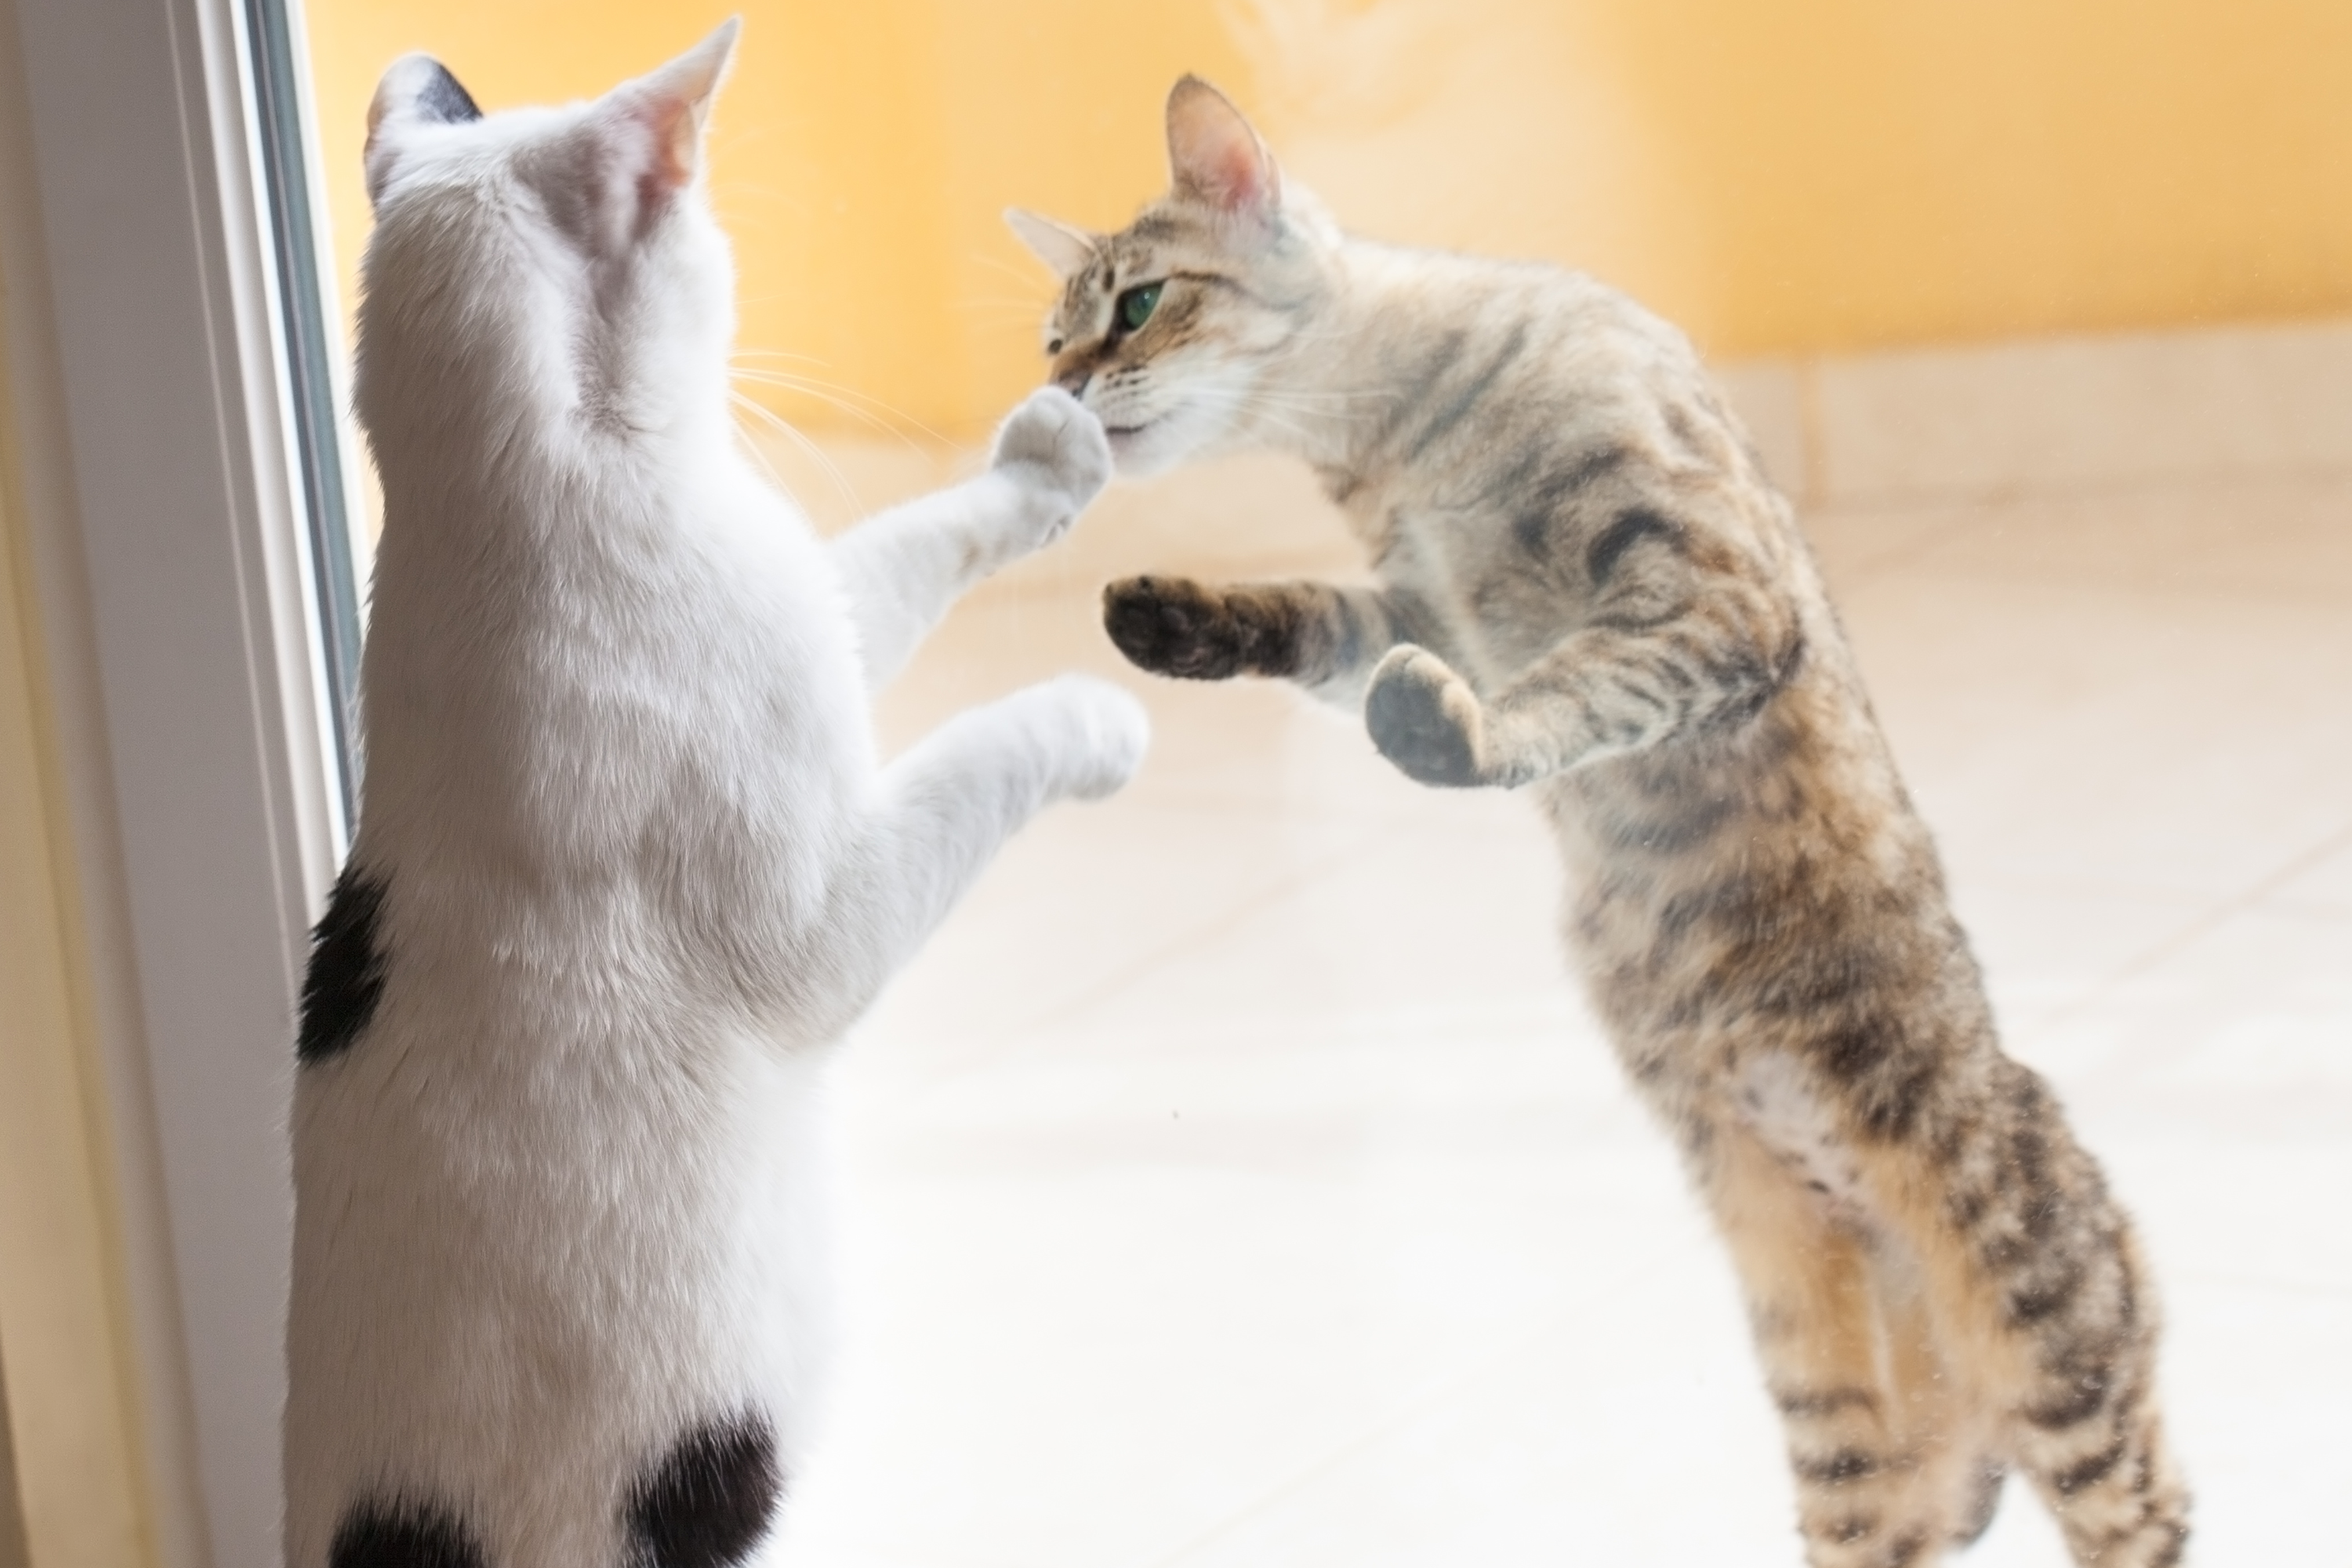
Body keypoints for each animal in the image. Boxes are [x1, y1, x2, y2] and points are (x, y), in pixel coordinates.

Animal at [285, 27, 1148, 1568]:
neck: (499, 521)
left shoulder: (813, 616)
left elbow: (902, 549)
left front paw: (1044, 459)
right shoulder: (826, 924)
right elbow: (983, 752)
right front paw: (1096, 718)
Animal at [1007, 76, 2183, 1568]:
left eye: (1141, 303)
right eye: (1052, 335)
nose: (1057, 392)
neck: (1391, 447)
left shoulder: (1699, 595)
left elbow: (1580, 691)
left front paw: (1463, 737)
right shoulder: (1411, 609)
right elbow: (1313, 622)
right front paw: (1171, 618)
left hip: (2057, 1364)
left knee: (2151, 1510)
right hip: (1848, 1446)